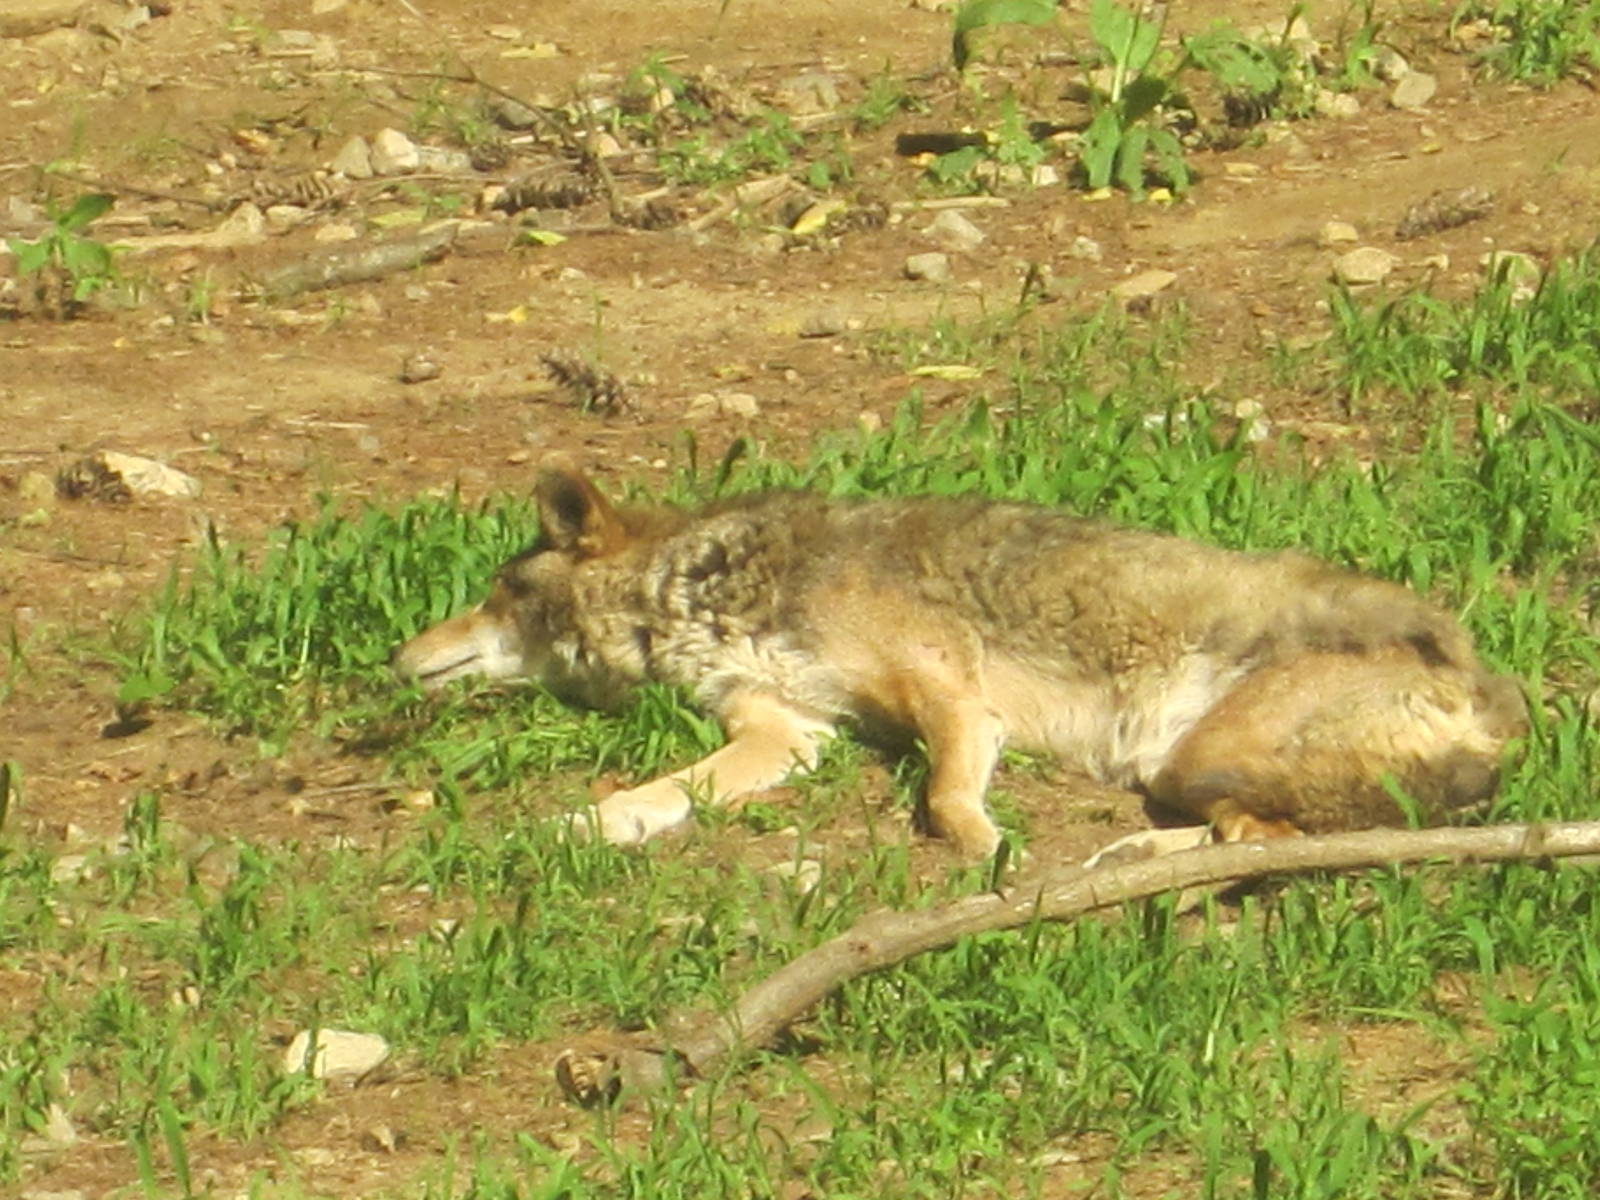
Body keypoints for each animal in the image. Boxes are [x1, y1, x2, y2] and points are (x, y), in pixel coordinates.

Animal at [394, 459, 1527, 858]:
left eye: (495, 593)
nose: (401, 655)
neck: (708, 589)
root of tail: (1498, 697)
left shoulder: (956, 697)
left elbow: (942, 798)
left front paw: (988, 851)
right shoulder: (786, 735)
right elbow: (653, 796)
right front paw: (578, 829)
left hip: (1200, 756)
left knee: (1290, 828)